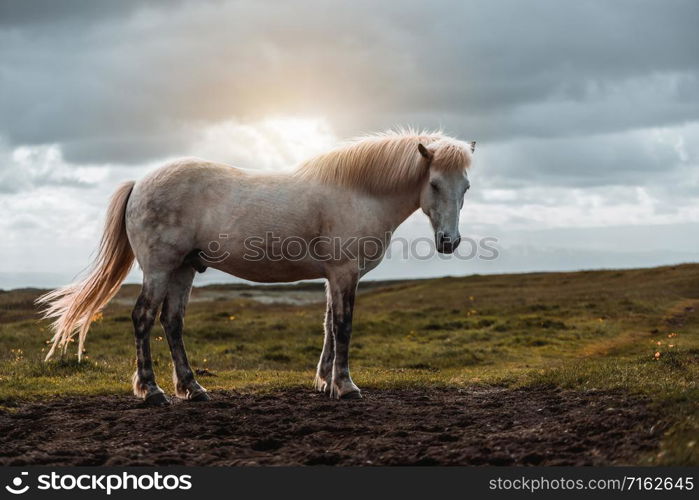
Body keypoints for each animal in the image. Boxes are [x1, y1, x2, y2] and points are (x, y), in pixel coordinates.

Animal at [38, 130, 476, 406]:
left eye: (466, 187)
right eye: (434, 184)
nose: (449, 242)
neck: (358, 193)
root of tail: (140, 183)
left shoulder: (332, 278)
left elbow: (328, 325)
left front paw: (324, 382)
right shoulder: (344, 274)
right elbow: (342, 326)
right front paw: (345, 386)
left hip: (183, 270)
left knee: (172, 322)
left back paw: (193, 388)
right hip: (161, 269)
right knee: (143, 318)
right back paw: (152, 391)